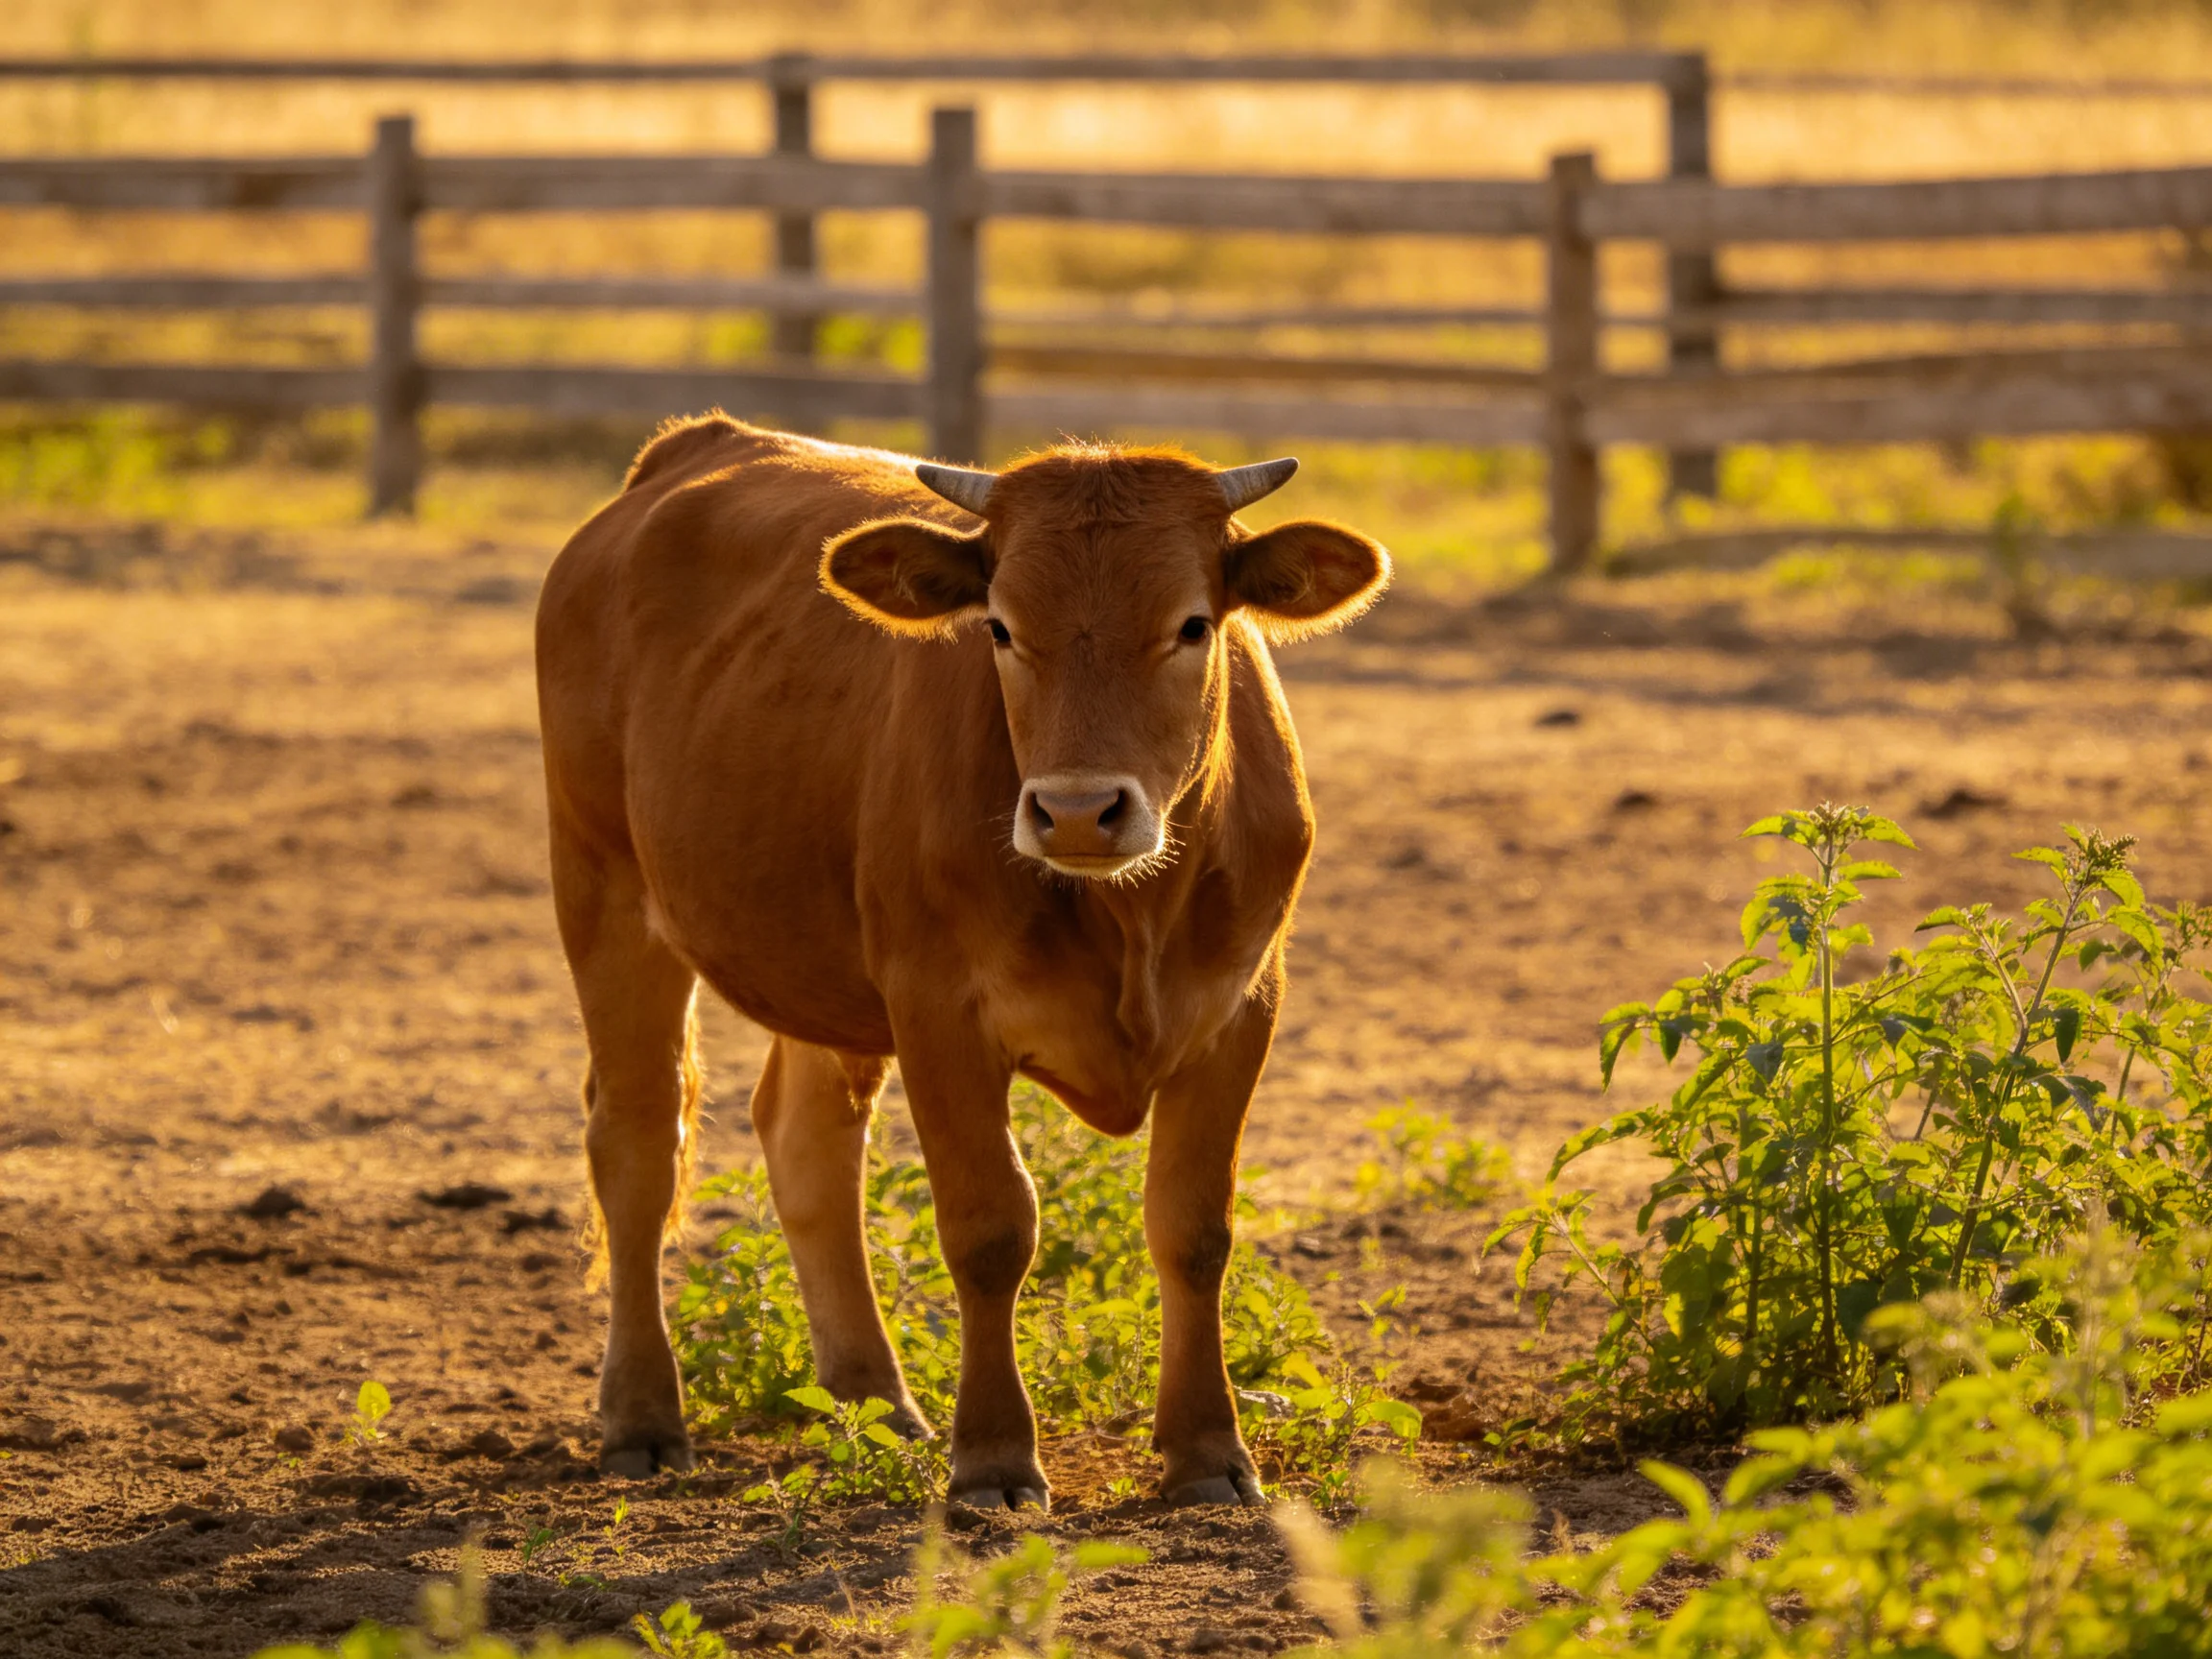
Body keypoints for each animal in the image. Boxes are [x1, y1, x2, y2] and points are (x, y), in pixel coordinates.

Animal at [535, 415, 1389, 1506]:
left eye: (1195, 626)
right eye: (1001, 628)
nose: (1078, 810)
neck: (1129, 909)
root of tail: (693, 449)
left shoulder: (1242, 1005)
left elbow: (1194, 1227)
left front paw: (1207, 1450)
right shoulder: (937, 1009)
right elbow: (990, 1229)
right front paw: (992, 1455)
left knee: (807, 1139)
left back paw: (870, 1397)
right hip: (604, 889)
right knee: (639, 1145)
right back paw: (643, 1416)